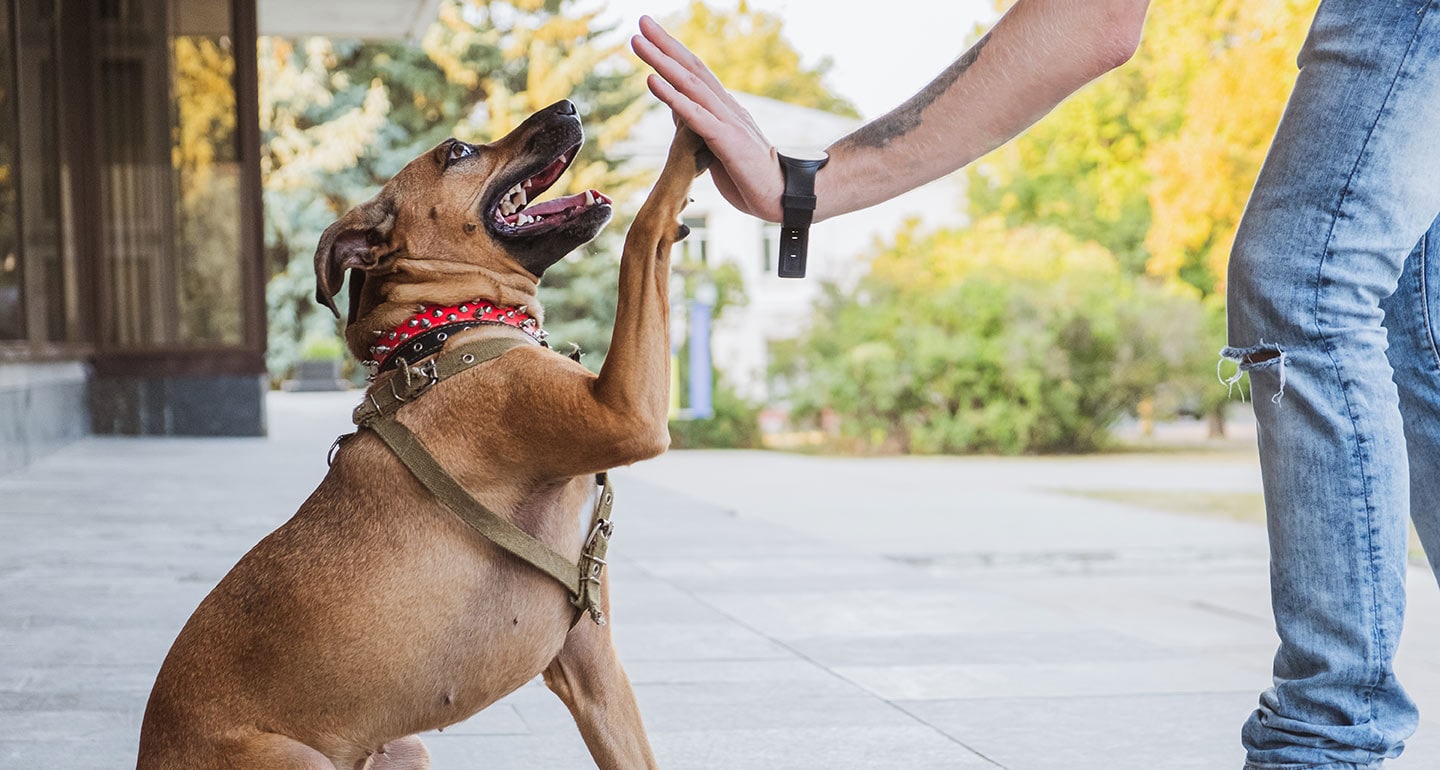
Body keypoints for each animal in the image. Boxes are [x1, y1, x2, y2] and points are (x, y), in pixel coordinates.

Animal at [137, 99, 711, 765]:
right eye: (456, 152)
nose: (567, 106)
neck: (446, 331)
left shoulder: (593, 665)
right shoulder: (626, 412)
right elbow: (643, 234)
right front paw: (690, 135)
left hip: (405, 749)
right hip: (300, 759)